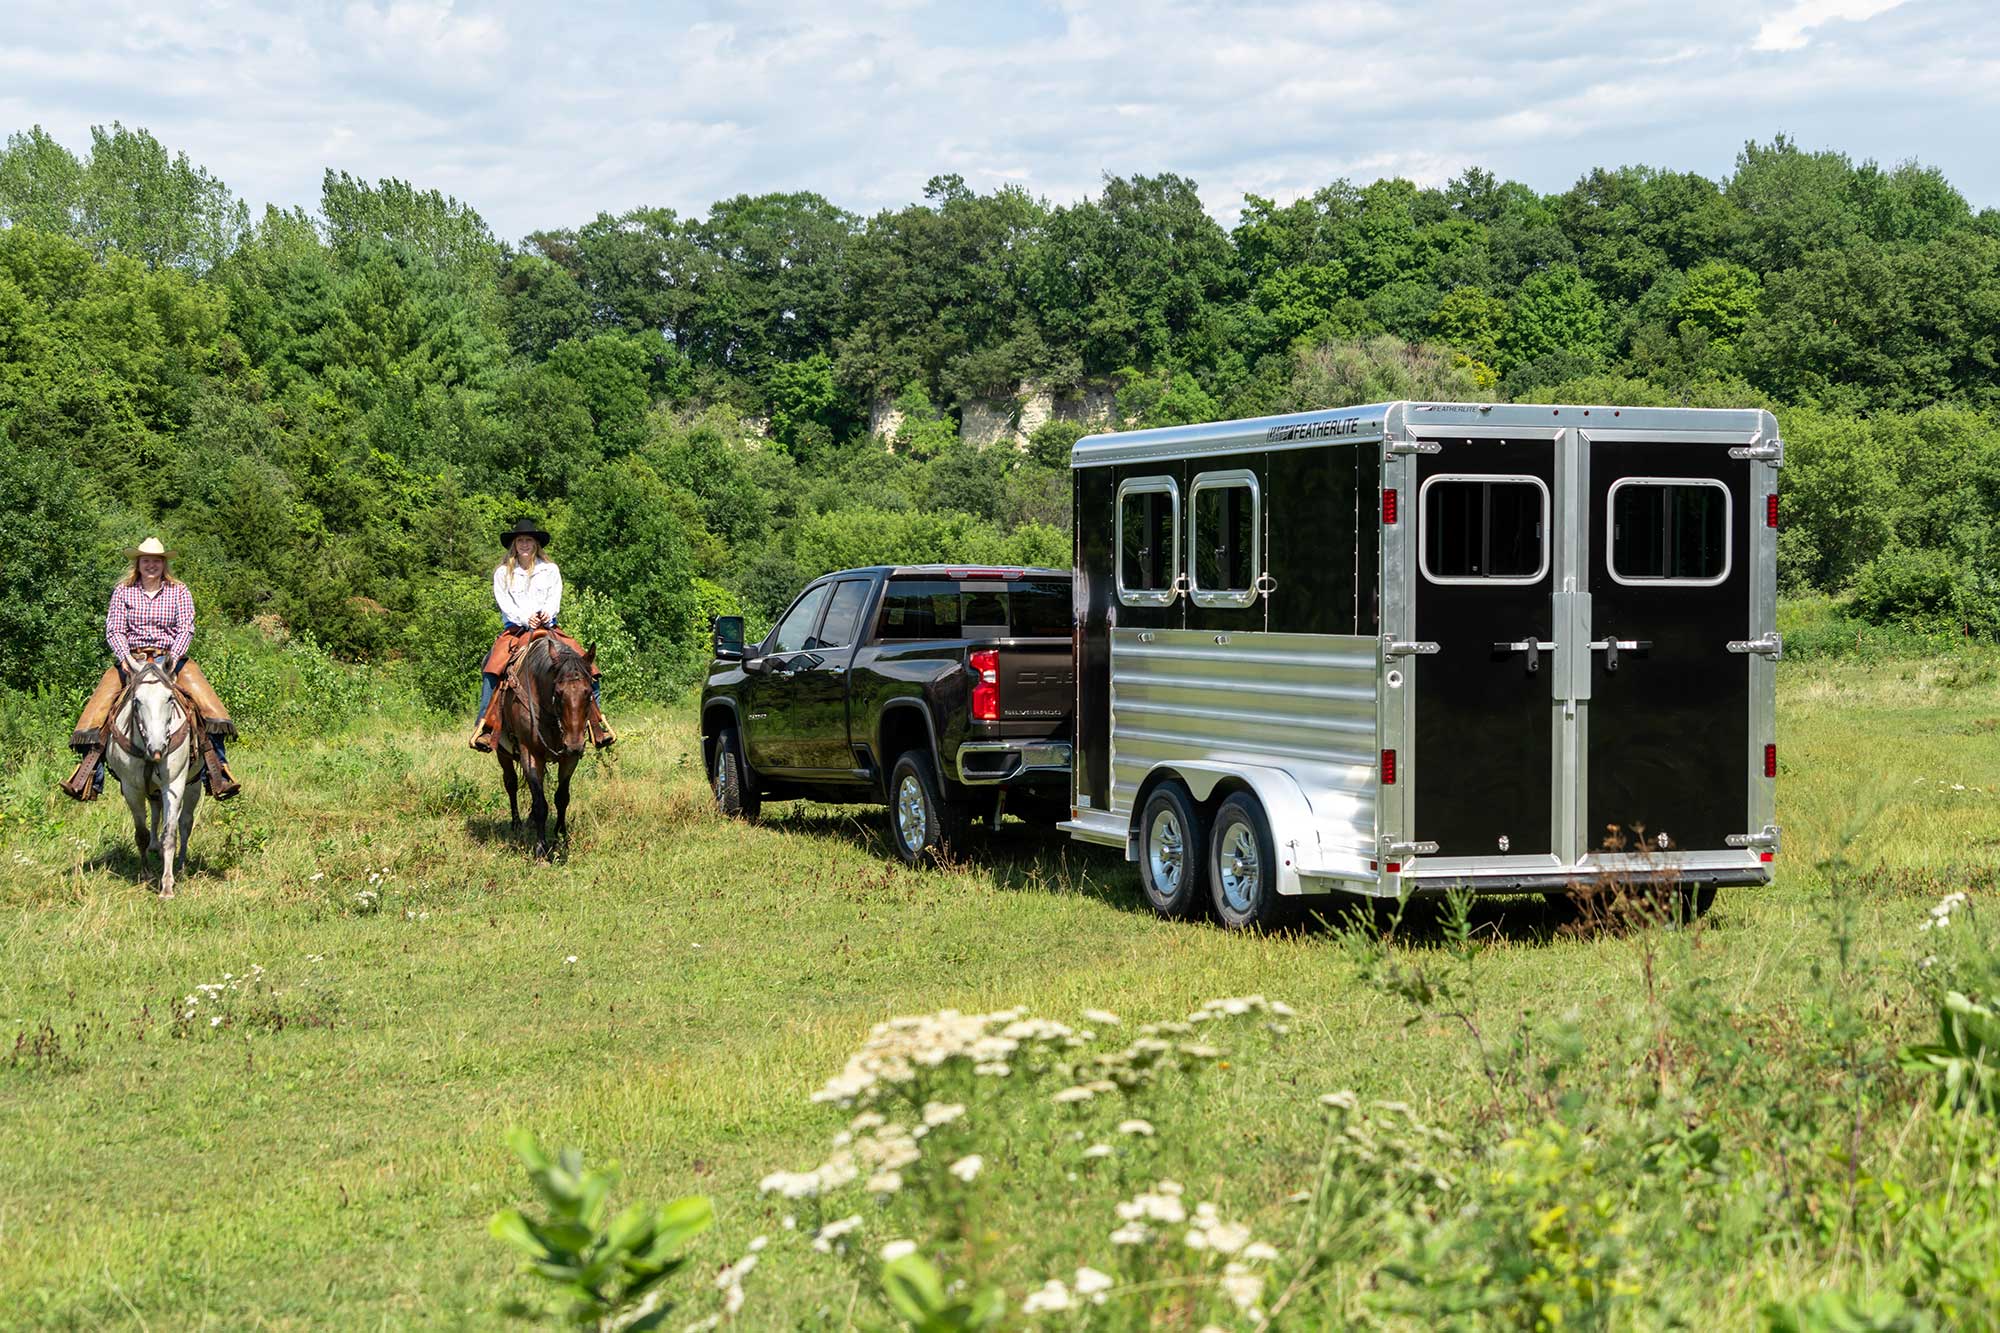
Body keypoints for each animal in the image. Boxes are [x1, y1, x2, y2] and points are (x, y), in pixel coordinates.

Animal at [104, 660, 204, 896]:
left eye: (169, 698)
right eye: (137, 700)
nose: (158, 749)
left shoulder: (173, 784)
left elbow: (170, 834)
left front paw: (167, 885)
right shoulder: (132, 789)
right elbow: (141, 833)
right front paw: (147, 874)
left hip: (193, 784)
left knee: (185, 822)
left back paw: (181, 865)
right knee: (156, 811)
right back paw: (154, 847)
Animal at [496, 632, 596, 856]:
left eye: (588, 692)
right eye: (558, 693)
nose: (575, 745)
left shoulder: (569, 759)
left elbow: (562, 798)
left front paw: (561, 837)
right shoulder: (531, 754)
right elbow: (540, 803)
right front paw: (541, 848)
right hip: (502, 753)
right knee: (511, 783)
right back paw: (516, 823)